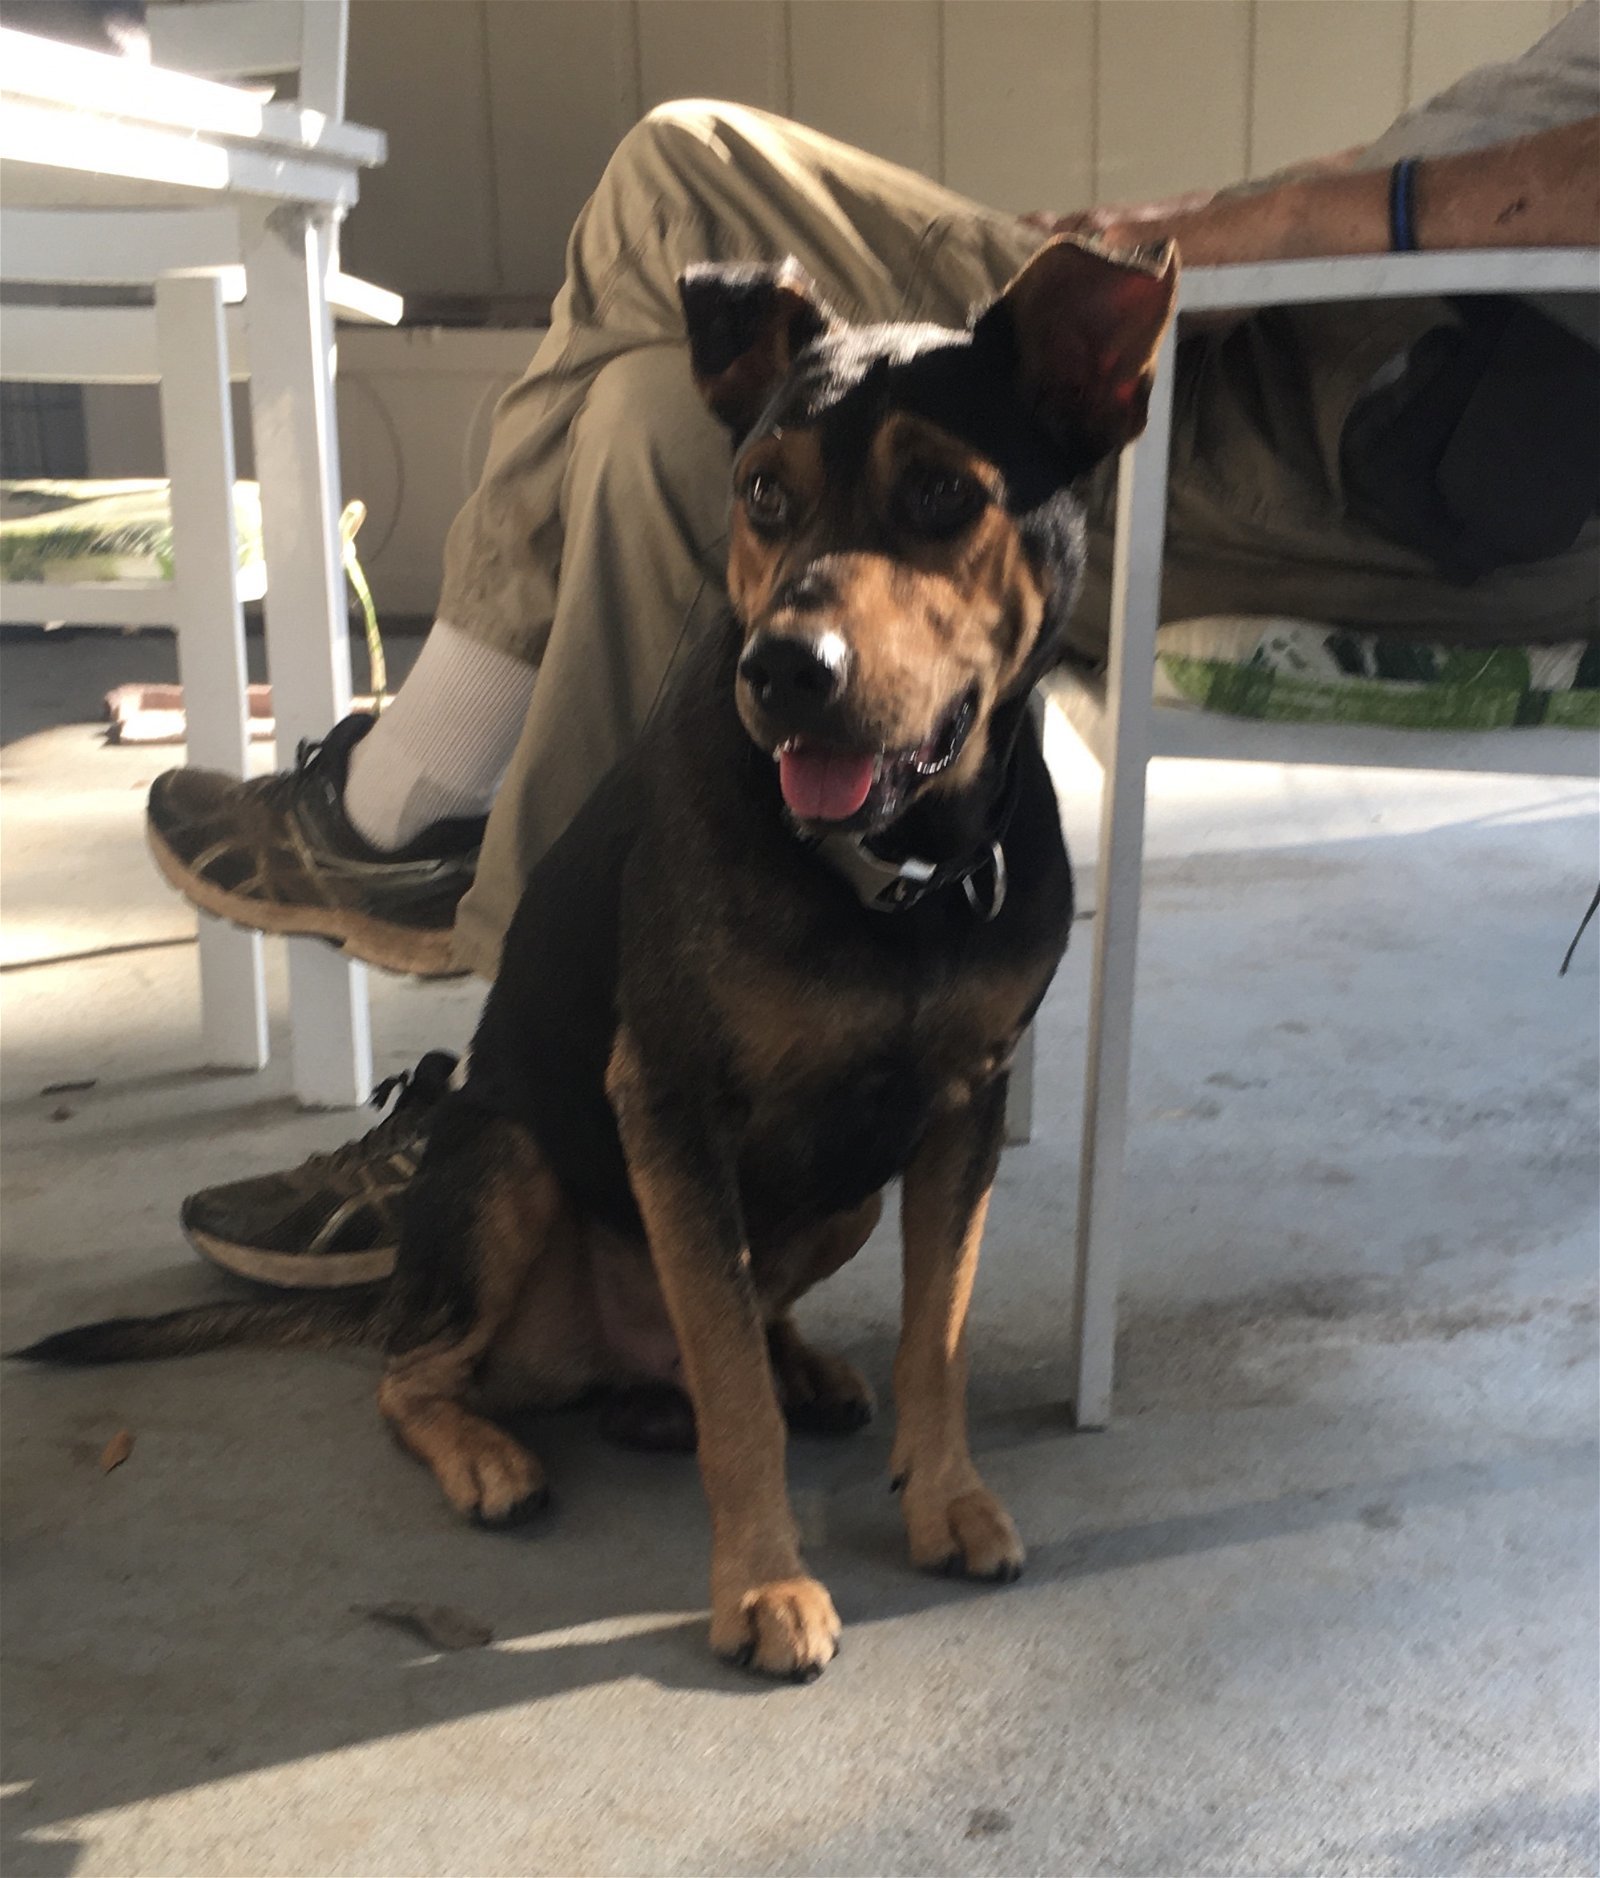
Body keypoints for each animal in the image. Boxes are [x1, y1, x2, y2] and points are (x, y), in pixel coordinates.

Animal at [18, 238, 1171, 1690]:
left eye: (941, 493)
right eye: (762, 492)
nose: (784, 672)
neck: (890, 872)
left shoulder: (963, 1107)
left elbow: (935, 1333)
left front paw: (947, 1493)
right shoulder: (668, 1098)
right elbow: (733, 1390)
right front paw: (763, 1580)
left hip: (841, 1198)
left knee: (725, 1324)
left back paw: (791, 1367)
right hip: (507, 1169)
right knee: (427, 1374)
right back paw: (488, 1449)